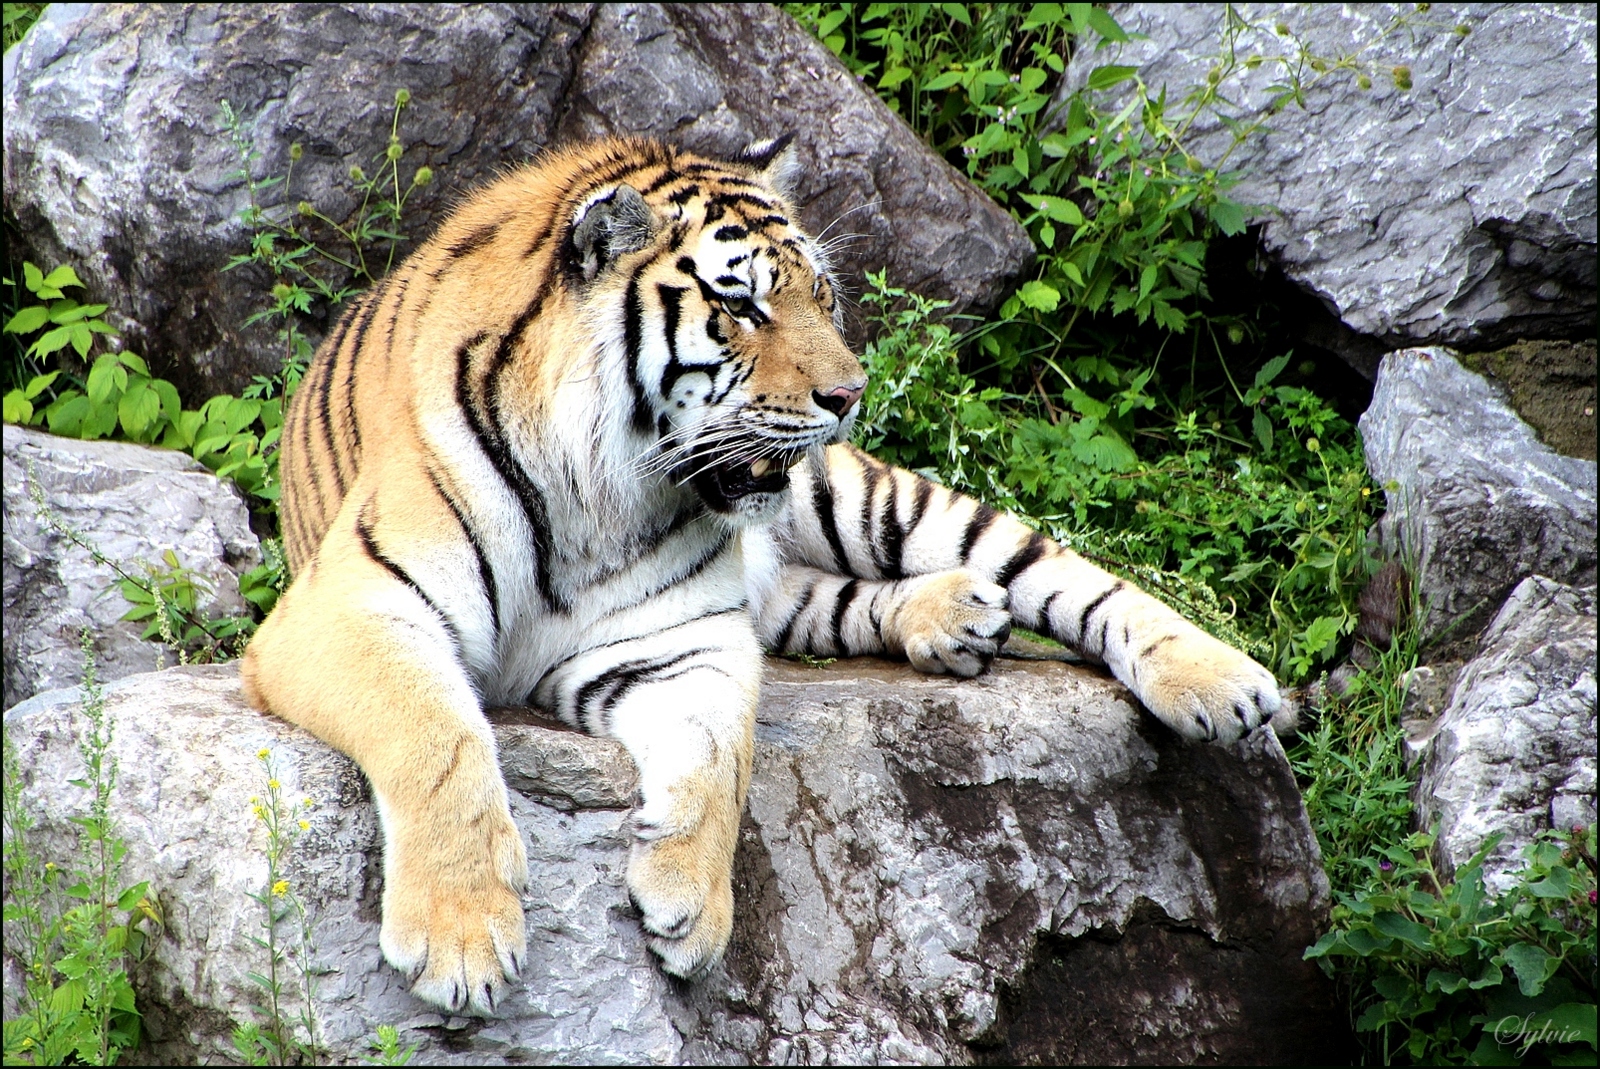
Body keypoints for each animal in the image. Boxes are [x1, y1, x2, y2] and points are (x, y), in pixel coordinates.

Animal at [240, 136, 1286, 1017]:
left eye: (823, 295)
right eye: (742, 305)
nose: (850, 394)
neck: (599, 484)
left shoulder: (681, 640)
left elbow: (721, 762)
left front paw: (691, 912)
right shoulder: (351, 606)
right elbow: (439, 738)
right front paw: (462, 938)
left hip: (868, 499)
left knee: (1060, 570)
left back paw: (1223, 683)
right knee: (834, 602)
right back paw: (953, 616)